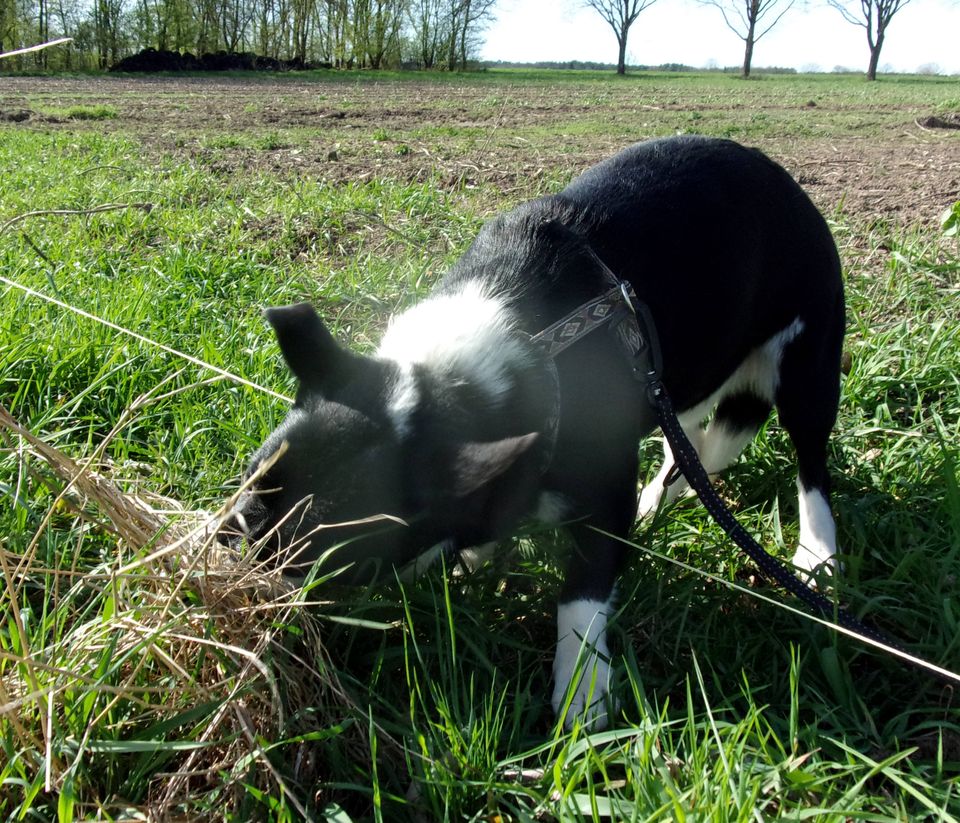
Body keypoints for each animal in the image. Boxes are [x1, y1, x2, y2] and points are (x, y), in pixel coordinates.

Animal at [221, 135, 844, 728]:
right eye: (249, 486)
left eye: (317, 559)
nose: (223, 563)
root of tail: (783, 178)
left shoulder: (603, 497)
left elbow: (582, 596)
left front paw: (583, 691)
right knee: (689, 443)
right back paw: (661, 499)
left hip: (809, 369)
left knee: (810, 462)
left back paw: (816, 552)